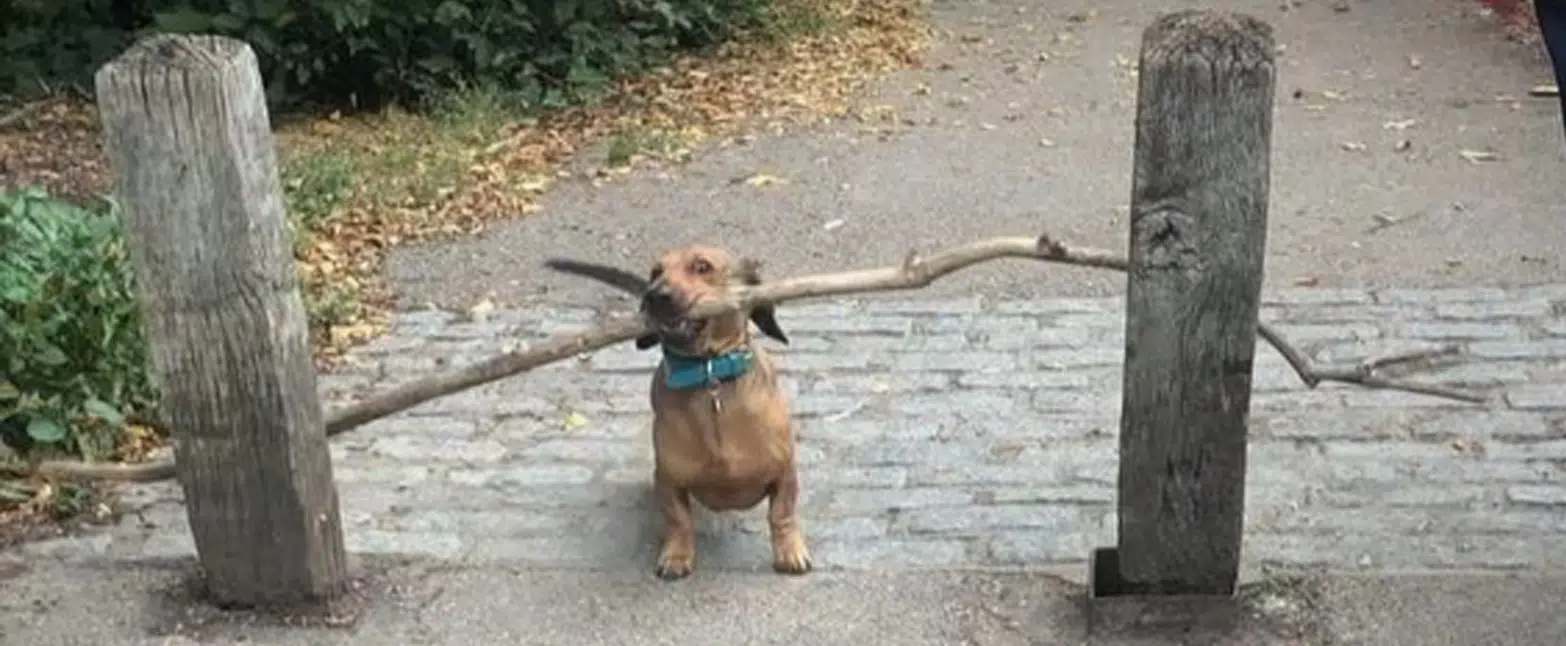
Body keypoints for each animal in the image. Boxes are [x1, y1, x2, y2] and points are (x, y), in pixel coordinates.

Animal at [544, 248, 808, 578]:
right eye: (655, 272)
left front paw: (790, 550)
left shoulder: (785, 472)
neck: (709, 375)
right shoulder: (668, 480)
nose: (654, 295)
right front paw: (677, 555)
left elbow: (782, 514)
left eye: (702, 266)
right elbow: (679, 521)